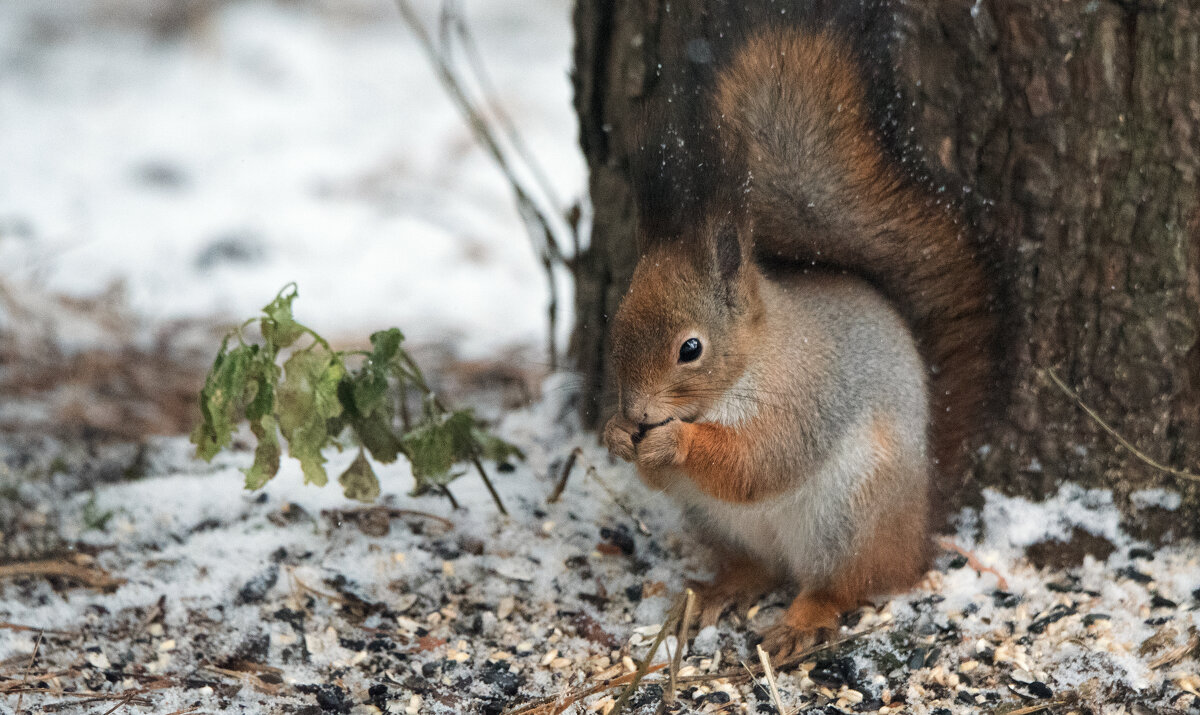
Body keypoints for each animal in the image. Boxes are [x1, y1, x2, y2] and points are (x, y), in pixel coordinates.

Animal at [600, 22, 993, 657]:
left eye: (691, 349)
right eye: (617, 327)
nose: (635, 413)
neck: (751, 364)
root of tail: (916, 535)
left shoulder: (804, 397)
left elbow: (758, 462)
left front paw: (675, 442)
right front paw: (616, 435)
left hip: (851, 512)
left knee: (844, 584)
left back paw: (802, 622)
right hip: (720, 522)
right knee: (759, 569)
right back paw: (717, 593)